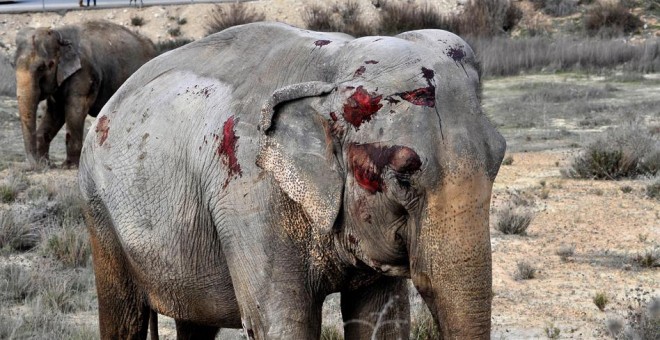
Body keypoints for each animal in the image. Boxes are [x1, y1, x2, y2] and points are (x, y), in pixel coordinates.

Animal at [14, 19, 157, 167]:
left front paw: (69, 166)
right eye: (14, 65)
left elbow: (75, 111)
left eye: (42, 67)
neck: (60, 34)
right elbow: (54, 113)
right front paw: (46, 163)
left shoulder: (83, 72)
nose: (36, 166)